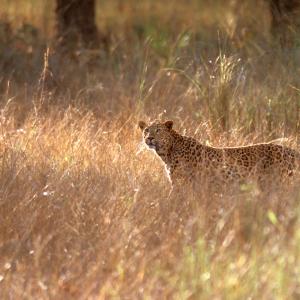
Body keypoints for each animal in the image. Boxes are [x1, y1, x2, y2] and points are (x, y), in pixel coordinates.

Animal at [139, 119, 300, 192]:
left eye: (158, 130)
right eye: (146, 130)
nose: (149, 138)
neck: (167, 152)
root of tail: (292, 151)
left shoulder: (180, 184)